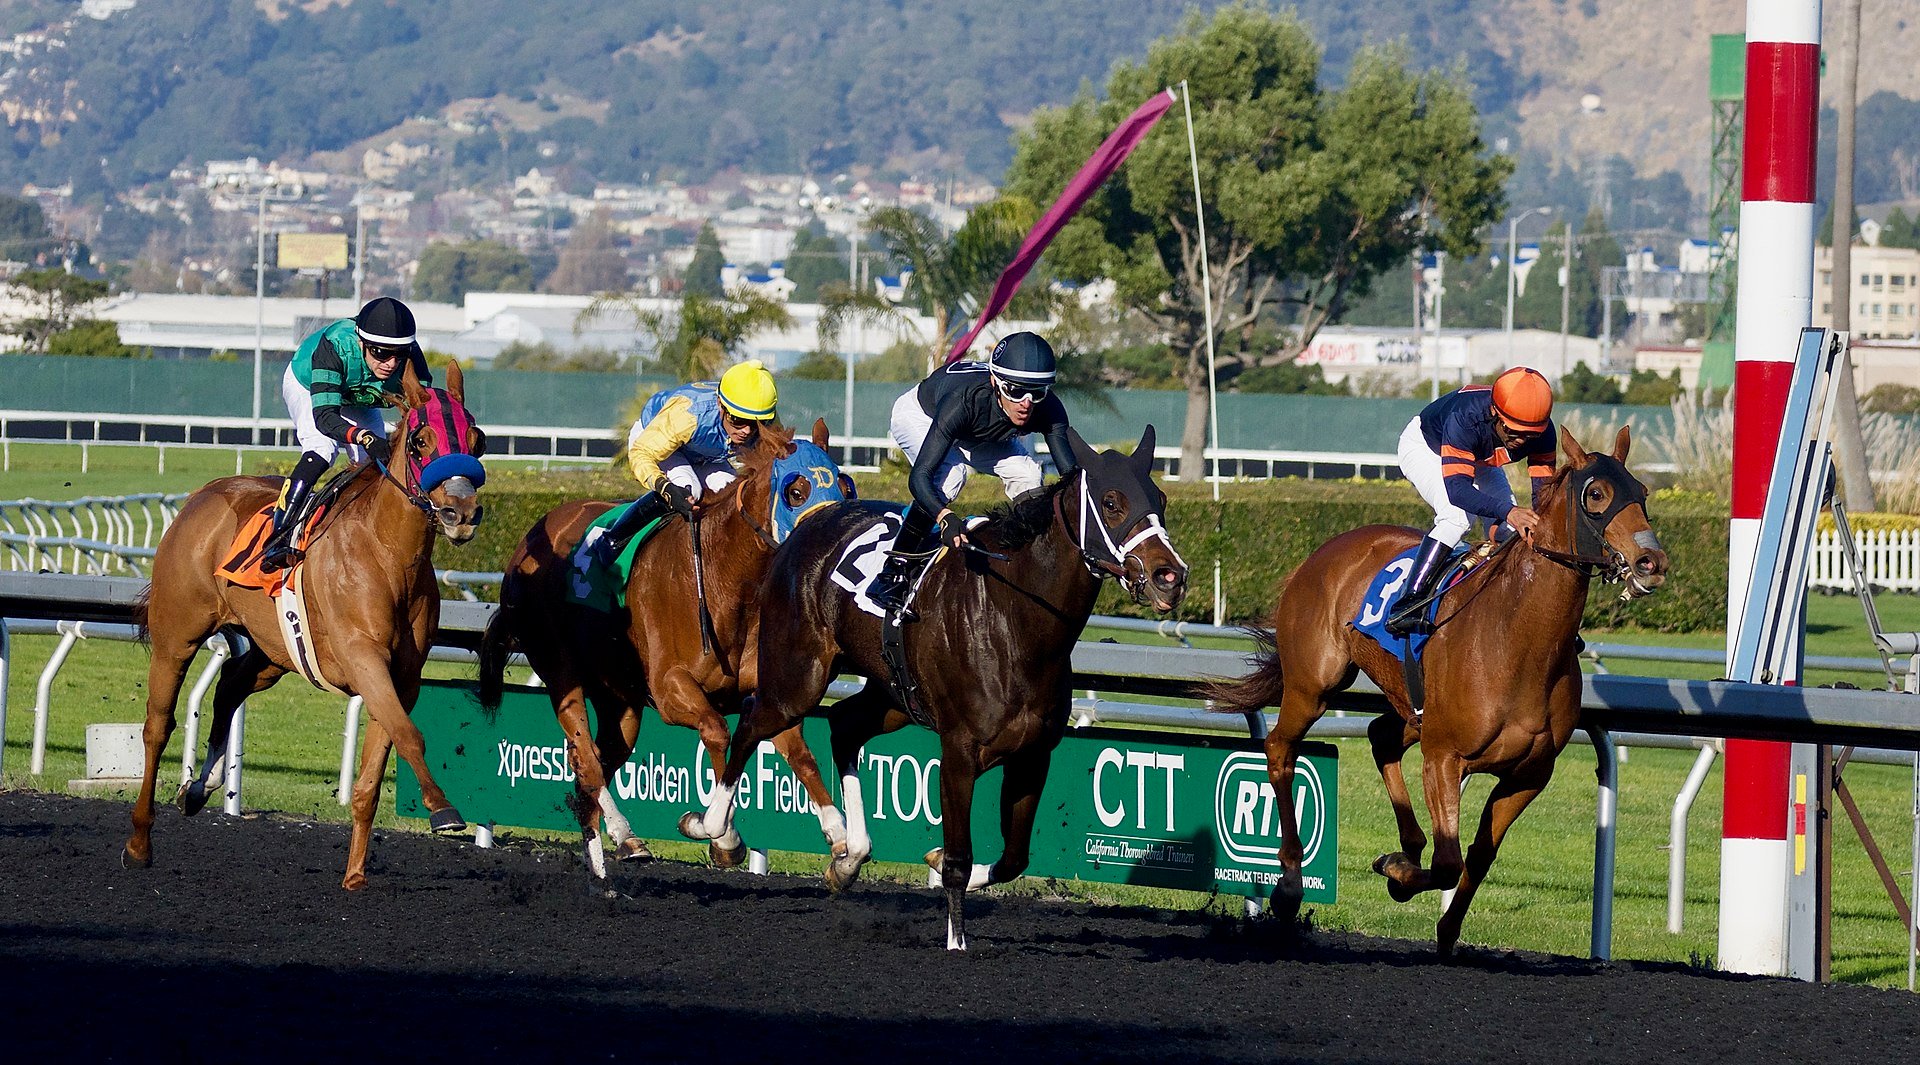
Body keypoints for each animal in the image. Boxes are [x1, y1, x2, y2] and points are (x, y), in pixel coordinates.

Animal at [124, 360, 491, 890]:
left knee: (230, 687)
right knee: (158, 725)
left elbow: (376, 767)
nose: (460, 514)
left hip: (272, 651)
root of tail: (204, 495)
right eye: (421, 441)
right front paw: (443, 810)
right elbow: (410, 735)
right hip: (179, 633)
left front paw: (355, 875)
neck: (388, 554)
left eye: (478, 441)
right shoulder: (363, 659)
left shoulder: (402, 676)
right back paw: (139, 842)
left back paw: (199, 788)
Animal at [476, 416, 852, 890]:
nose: (829, 543)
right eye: (796, 491)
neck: (725, 581)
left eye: (844, 485)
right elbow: (717, 732)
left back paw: (619, 848)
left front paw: (842, 845)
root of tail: (529, 538)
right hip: (561, 673)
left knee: (595, 765)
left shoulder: (767, 693)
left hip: (620, 701)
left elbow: (801, 755)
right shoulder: (671, 688)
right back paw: (612, 854)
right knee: (586, 759)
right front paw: (721, 835)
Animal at [698, 426, 1190, 951]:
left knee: (844, 725)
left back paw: (849, 857)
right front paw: (956, 942)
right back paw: (714, 826)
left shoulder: (1033, 753)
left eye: (1160, 498)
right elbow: (958, 856)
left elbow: (1013, 858)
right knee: (753, 719)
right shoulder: (958, 751)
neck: (1016, 620)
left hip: (893, 694)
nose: (1170, 576)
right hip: (799, 678)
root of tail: (808, 524)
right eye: (1112, 502)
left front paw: (939, 865)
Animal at [1205, 429, 1674, 955]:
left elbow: (1479, 854)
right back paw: (1290, 883)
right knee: (1280, 749)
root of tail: (1322, 551)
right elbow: (1449, 861)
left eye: (1642, 494)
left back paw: (1408, 843)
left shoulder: (1528, 775)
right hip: (1313, 686)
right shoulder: (1445, 757)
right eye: (1596, 494)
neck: (1516, 637)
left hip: (1411, 706)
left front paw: (1445, 927)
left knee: (1381, 736)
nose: (1652, 562)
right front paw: (1394, 872)